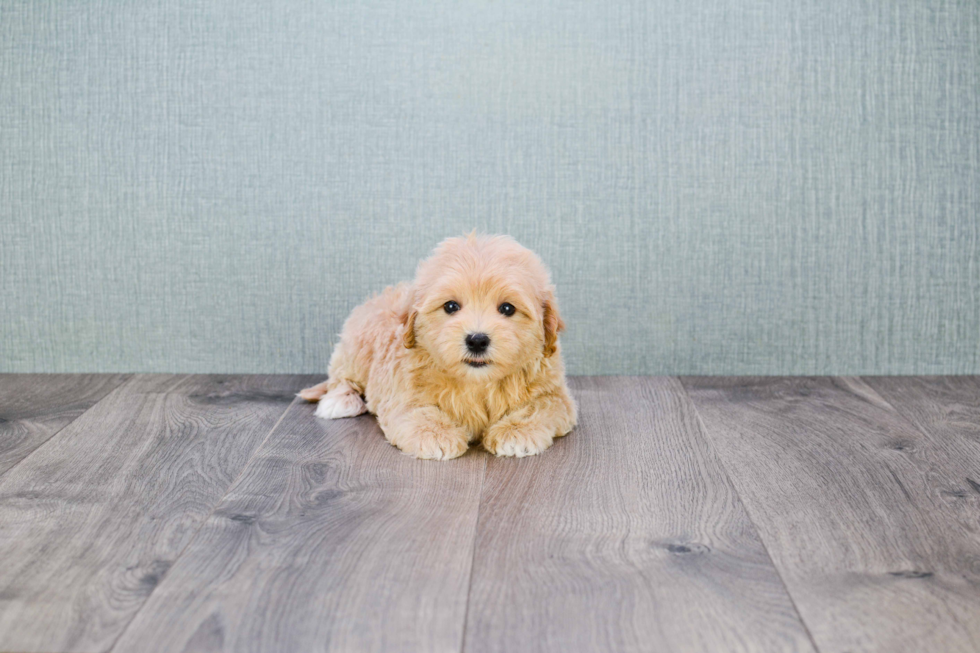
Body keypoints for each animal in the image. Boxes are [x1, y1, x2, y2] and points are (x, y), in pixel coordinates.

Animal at [298, 233, 576, 458]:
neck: (477, 382)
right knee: (341, 376)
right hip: (356, 344)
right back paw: (339, 401)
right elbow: (418, 411)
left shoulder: (553, 392)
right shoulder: (402, 390)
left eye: (507, 308)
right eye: (451, 306)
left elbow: (541, 406)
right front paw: (436, 435)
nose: (477, 340)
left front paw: (515, 432)